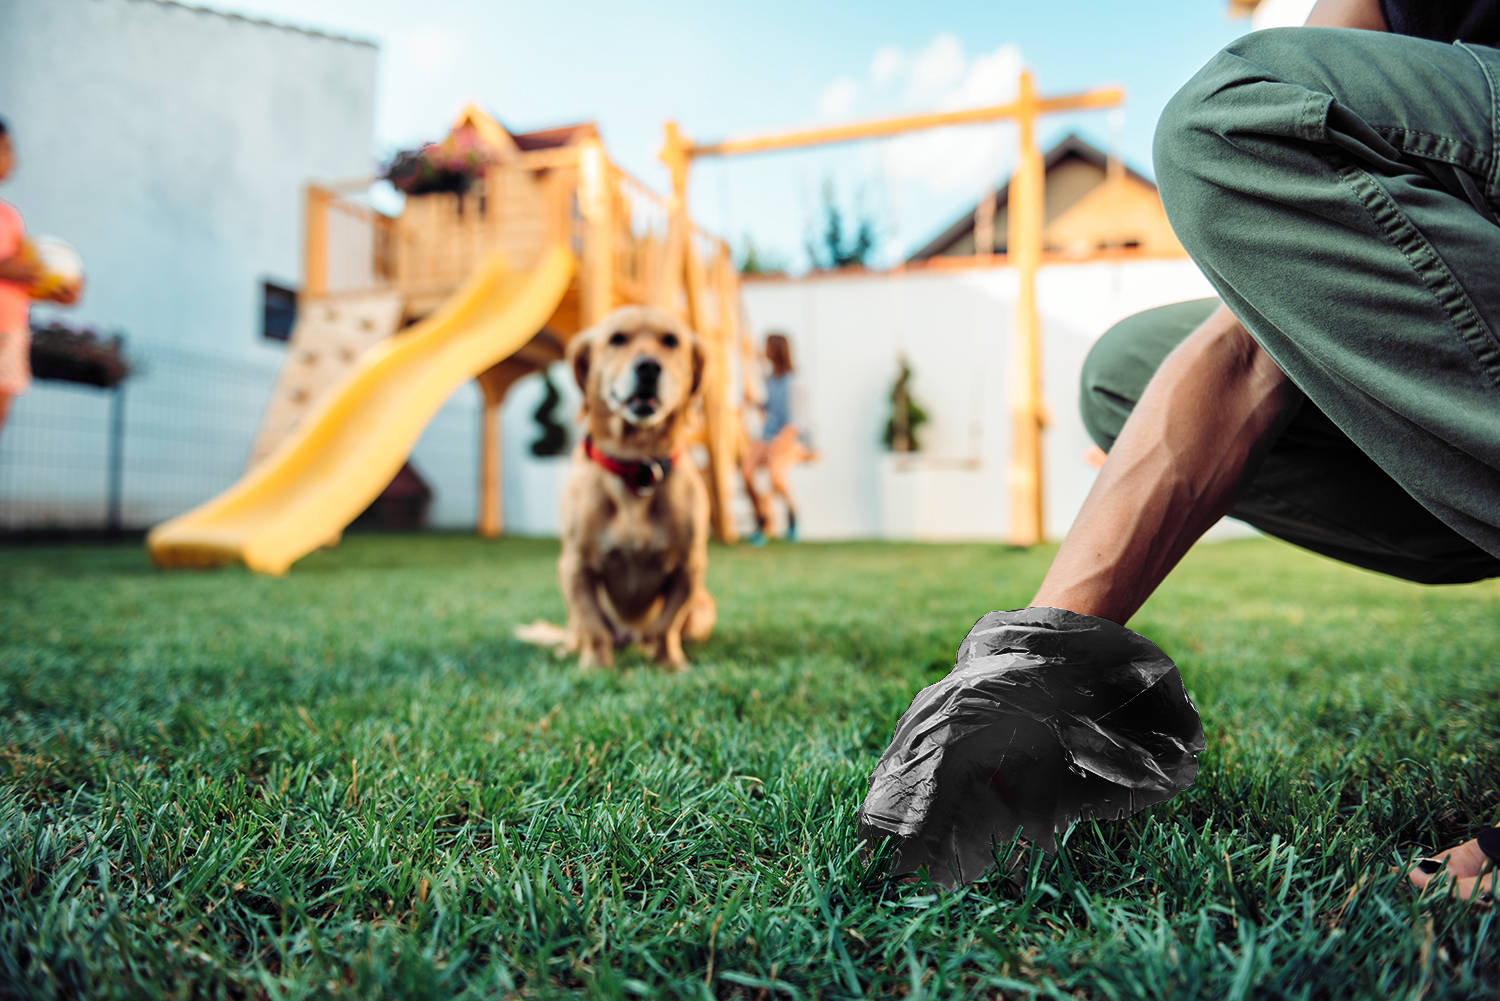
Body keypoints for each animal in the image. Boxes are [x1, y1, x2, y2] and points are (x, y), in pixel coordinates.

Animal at [519, 303, 717, 666]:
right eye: (617, 339)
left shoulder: (689, 569)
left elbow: (666, 625)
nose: (648, 367)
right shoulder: (575, 567)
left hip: (703, 609)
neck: (636, 465)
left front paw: (669, 663)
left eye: (671, 341)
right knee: (580, 632)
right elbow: (594, 626)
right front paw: (597, 666)